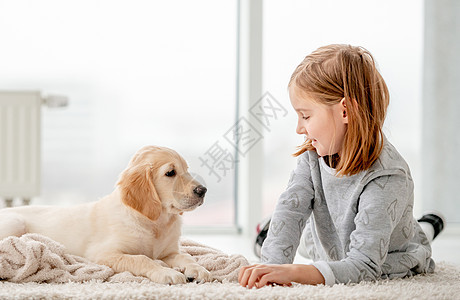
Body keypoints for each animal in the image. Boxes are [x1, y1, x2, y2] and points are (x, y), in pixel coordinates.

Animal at [0, 145, 213, 284]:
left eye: (186, 170)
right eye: (170, 173)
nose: (203, 190)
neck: (155, 222)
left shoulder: (170, 252)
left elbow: (186, 257)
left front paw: (198, 269)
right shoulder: (103, 253)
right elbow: (141, 259)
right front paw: (166, 273)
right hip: (15, 223)